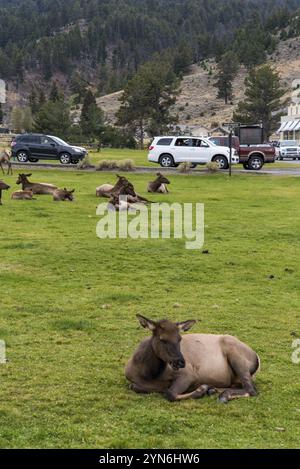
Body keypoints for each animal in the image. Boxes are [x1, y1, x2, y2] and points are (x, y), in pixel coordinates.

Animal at [125, 314, 258, 402]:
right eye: (162, 339)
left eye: (179, 338)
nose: (180, 362)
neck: (148, 373)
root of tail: (257, 358)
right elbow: (134, 386)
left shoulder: (188, 374)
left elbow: (170, 393)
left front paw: (201, 389)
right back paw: (213, 390)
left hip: (236, 356)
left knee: (251, 389)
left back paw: (223, 395)